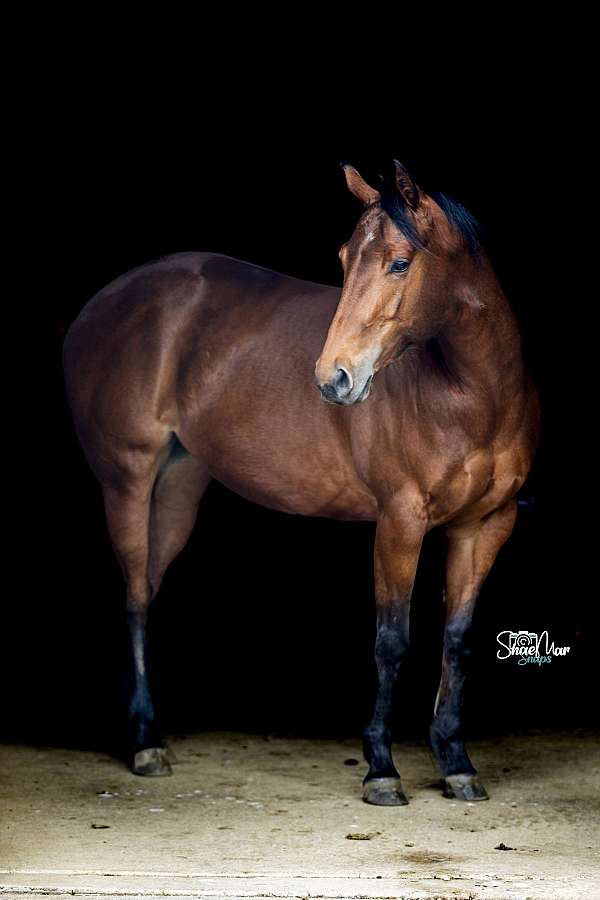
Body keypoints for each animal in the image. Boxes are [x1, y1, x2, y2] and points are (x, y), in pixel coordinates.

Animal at [63, 159, 539, 805]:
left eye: (399, 262)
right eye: (342, 258)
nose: (333, 378)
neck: (473, 398)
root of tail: (98, 307)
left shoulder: (486, 525)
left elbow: (458, 640)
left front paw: (456, 762)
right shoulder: (400, 522)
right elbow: (391, 640)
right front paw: (381, 769)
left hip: (179, 489)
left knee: (149, 589)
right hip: (127, 483)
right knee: (135, 597)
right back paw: (145, 743)